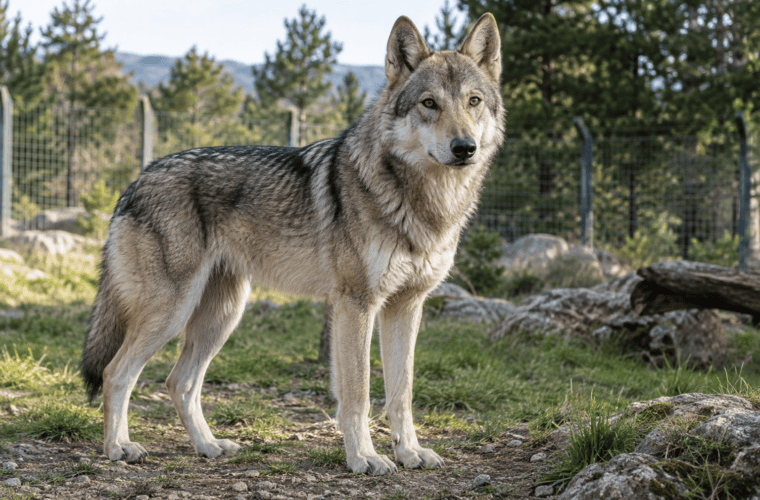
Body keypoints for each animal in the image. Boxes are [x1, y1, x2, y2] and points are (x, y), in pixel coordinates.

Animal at [82, 13, 504, 475]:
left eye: (474, 101)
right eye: (429, 103)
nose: (464, 148)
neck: (424, 202)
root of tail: (136, 181)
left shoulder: (406, 306)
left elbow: (402, 393)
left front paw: (409, 452)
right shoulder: (356, 304)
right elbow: (358, 395)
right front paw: (364, 457)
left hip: (222, 315)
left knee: (180, 382)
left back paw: (208, 446)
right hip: (172, 311)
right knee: (117, 373)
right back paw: (118, 448)